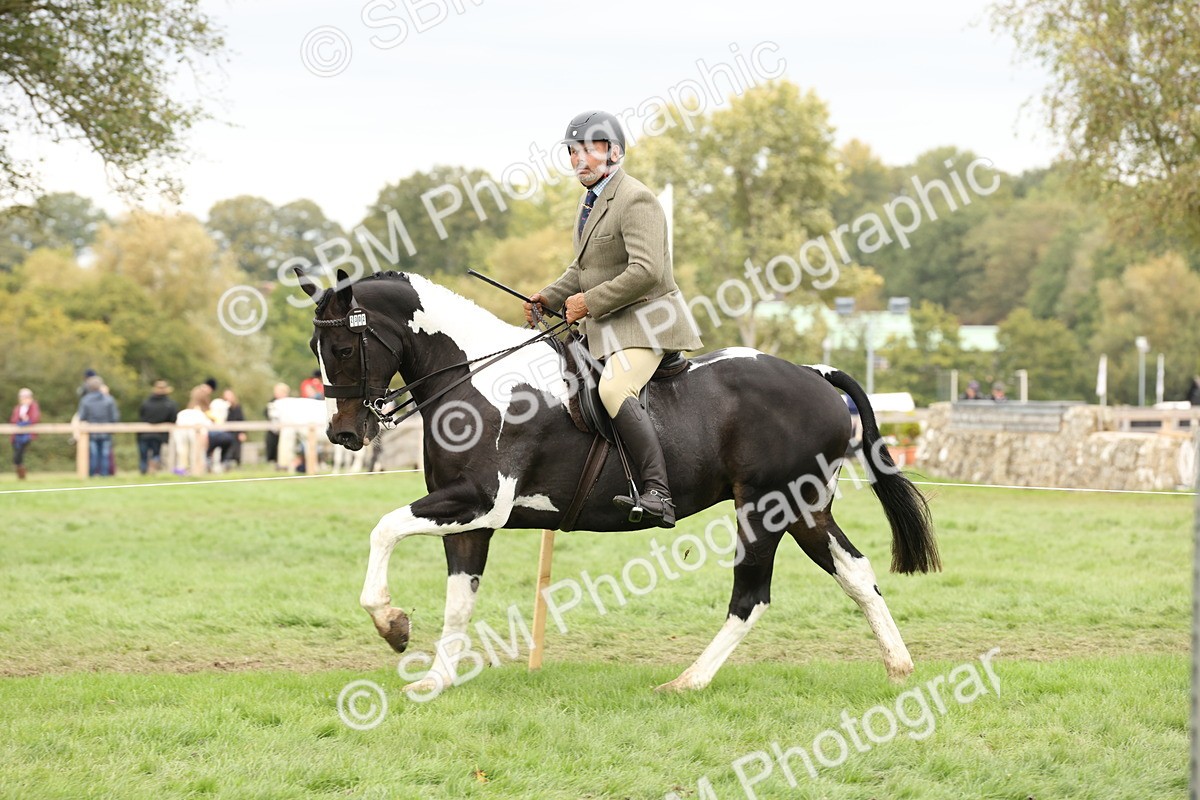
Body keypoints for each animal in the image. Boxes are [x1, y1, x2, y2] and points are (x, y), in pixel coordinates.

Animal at [298, 268, 939, 694]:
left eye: (343, 346)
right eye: (315, 346)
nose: (343, 434)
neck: (476, 382)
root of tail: (814, 373)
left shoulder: (478, 502)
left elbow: (384, 529)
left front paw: (392, 625)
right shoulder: (470, 519)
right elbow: (459, 601)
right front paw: (435, 679)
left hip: (763, 508)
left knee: (751, 596)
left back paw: (688, 681)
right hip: (805, 509)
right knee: (855, 572)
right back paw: (899, 666)